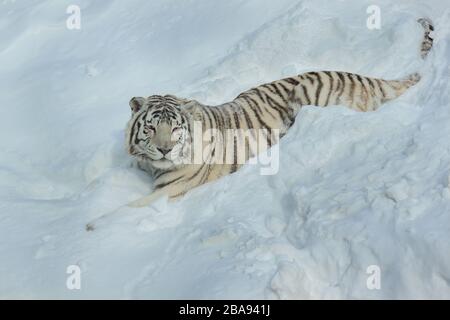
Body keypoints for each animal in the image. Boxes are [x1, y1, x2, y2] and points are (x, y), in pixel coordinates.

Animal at [84, 18, 432, 230]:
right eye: (151, 127)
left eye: (175, 128)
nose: (165, 150)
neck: (155, 166)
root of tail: (362, 78)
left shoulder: (172, 189)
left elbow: (131, 207)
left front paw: (91, 224)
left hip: (309, 93)